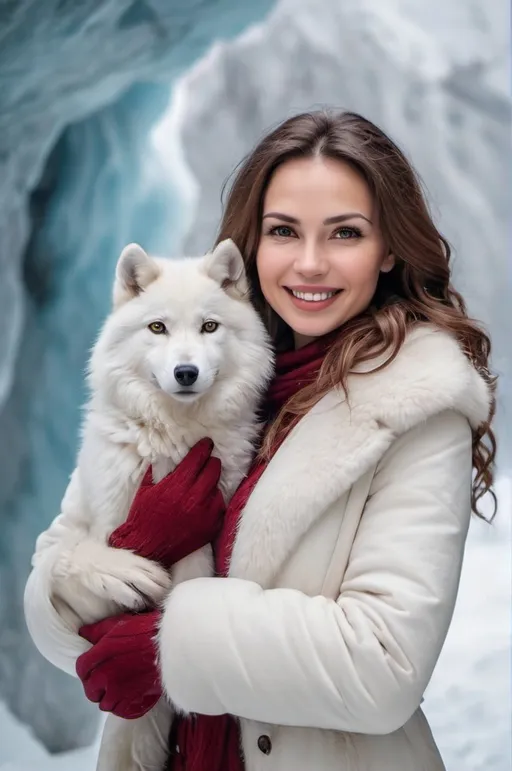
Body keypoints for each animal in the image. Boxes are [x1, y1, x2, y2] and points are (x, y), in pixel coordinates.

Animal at [23, 240, 274, 771]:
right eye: (157, 327)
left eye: (209, 327)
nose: (186, 372)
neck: (176, 441)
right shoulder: (108, 515)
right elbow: (82, 556)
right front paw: (126, 572)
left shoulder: (201, 537)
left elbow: (189, 581)